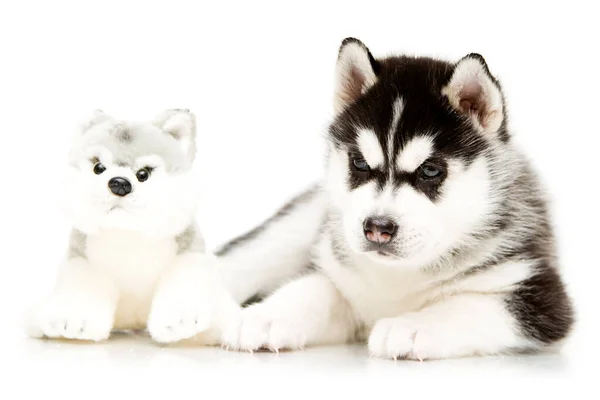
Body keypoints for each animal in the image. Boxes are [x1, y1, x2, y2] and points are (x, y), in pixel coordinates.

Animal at [218, 39, 576, 360]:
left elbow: (467, 304)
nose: (377, 228)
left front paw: (412, 326)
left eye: (430, 170)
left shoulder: (541, 295)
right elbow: (313, 288)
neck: (398, 276)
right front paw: (265, 316)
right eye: (359, 163)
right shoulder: (343, 277)